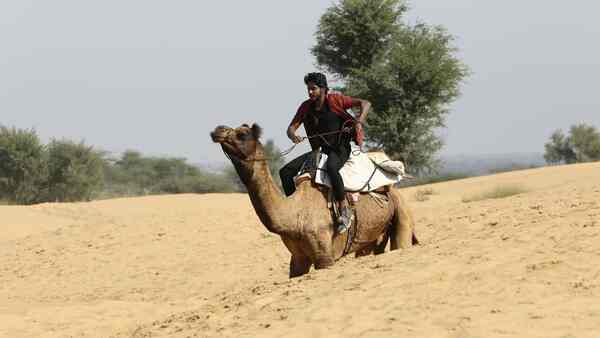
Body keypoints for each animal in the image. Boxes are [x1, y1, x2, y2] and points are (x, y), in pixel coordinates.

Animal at [211, 124, 418, 278]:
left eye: (242, 134)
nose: (218, 130)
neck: (295, 215)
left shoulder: (325, 257)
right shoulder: (297, 259)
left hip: (403, 214)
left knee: (401, 241)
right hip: (371, 237)